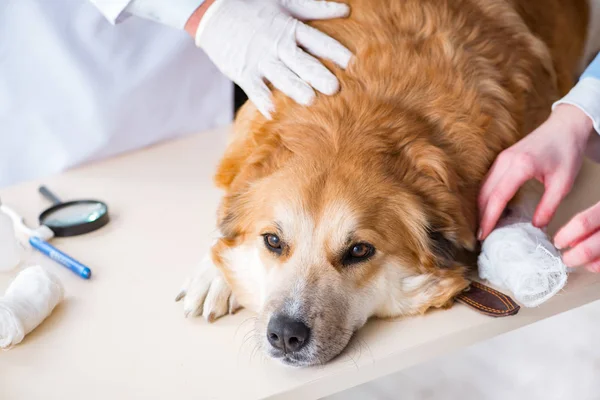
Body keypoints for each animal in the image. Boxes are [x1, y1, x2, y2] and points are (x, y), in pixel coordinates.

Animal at [177, 0, 596, 366]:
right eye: (273, 241)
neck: (353, 119)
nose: (284, 335)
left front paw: (526, 256)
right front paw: (215, 273)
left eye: (360, 250)